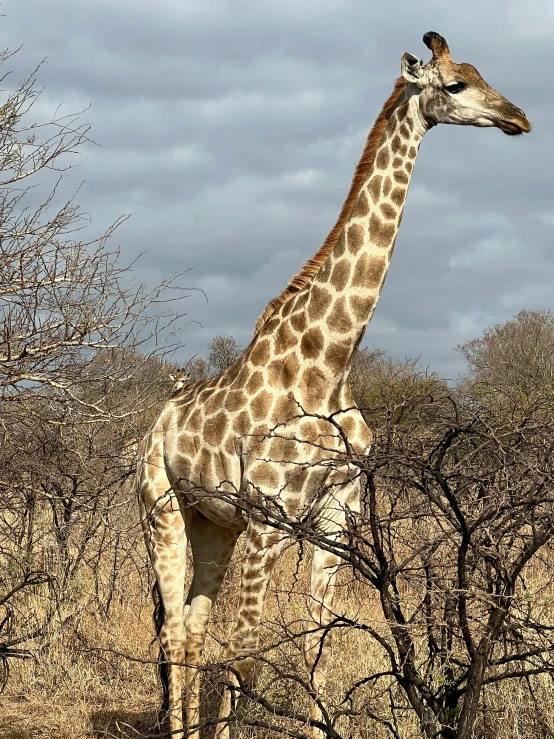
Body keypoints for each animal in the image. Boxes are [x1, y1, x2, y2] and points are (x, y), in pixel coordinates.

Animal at [136, 31, 528, 736]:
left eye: (485, 74)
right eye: (455, 84)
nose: (519, 117)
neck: (329, 362)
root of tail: (154, 425)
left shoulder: (336, 511)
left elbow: (317, 635)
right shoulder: (267, 518)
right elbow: (248, 647)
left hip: (212, 522)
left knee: (194, 626)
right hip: (161, 508)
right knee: (176, 629)